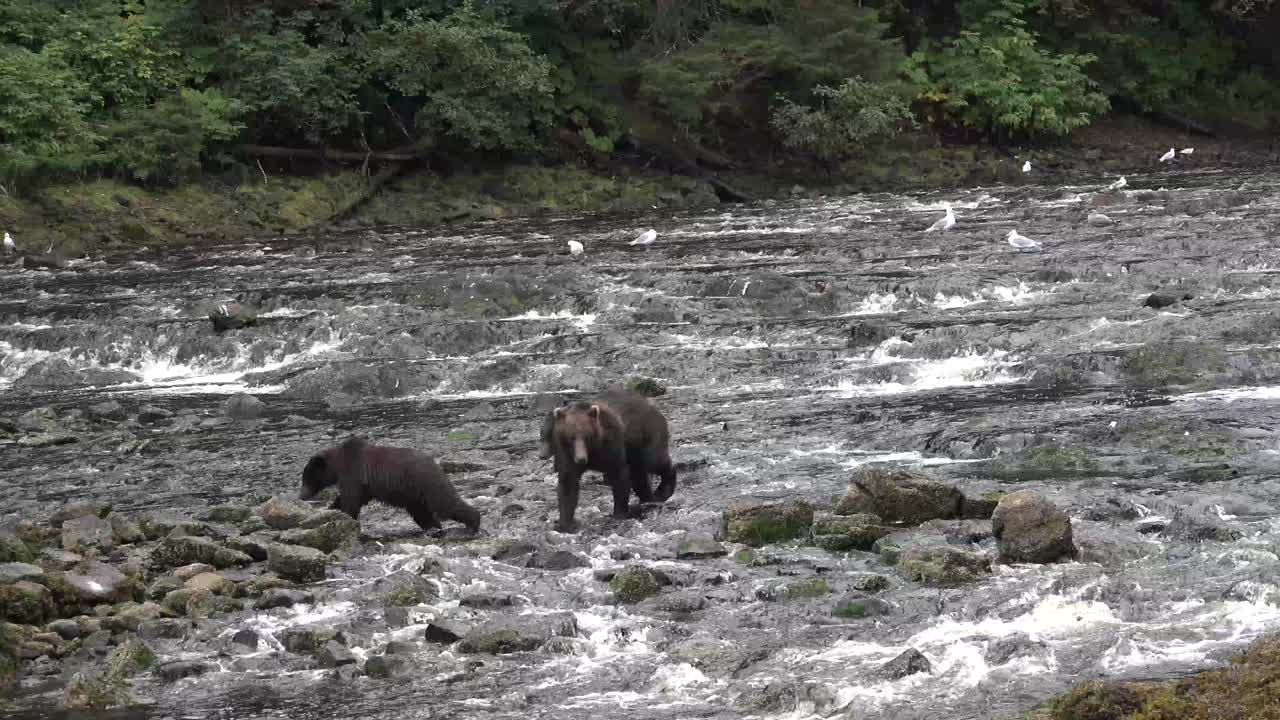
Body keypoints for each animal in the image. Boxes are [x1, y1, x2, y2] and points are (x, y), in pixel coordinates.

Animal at [299, 430, 481, 532]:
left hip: (426, 483)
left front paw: (346, 517)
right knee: (421, 512)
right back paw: (434, 526)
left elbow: (351, 499)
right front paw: (332, 509)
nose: (301, 495)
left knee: (445, 504)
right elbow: (350, 498)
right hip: (413, 494)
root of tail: (435, 464)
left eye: (306, 477)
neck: (338, 465)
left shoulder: (354, 473)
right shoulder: (365, 485)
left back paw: (473, 523)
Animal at [540, 389, 680, 530]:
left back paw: (663, 490)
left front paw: (618, 513)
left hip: (646, 436)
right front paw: (565, 523)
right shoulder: (566, 453)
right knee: (639, 475)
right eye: (571, 437)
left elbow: (619, 476)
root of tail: (651, 405)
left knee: (654, 461)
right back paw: (647, 499)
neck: (593, 450)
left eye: (586, 436)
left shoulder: (612, 443)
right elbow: (568, 482)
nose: (581, 459)